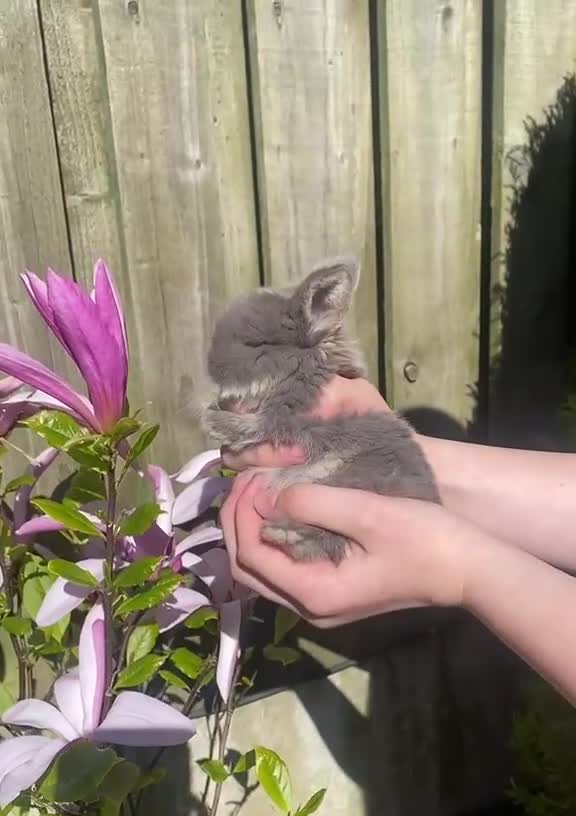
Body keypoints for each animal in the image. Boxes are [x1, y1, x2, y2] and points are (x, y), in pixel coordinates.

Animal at [202, 256, 440, 563]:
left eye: (258, 344)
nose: (212, 369)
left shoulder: (289, 418)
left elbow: (259, 427)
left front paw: (212, 419)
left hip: (358, 477)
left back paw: (285, 534)